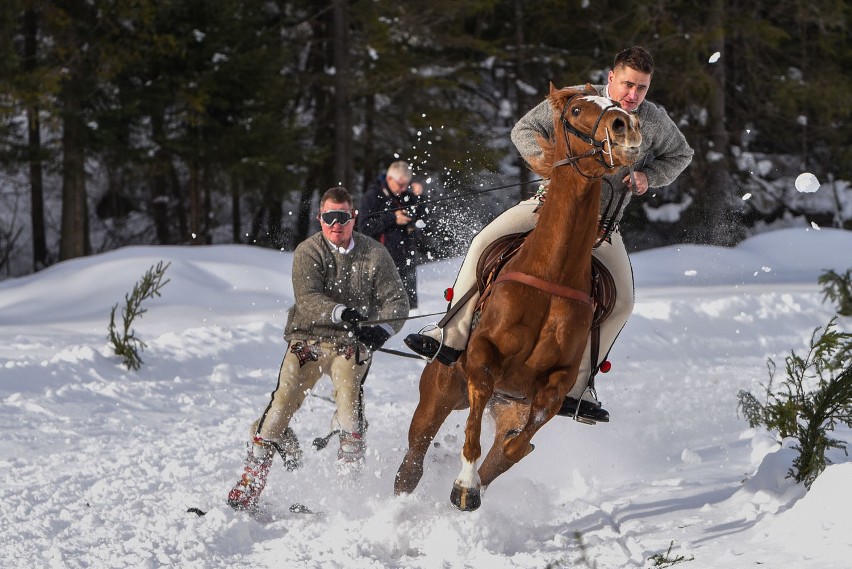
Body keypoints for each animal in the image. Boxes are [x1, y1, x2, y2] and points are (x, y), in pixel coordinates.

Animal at [392, 83, 640, 510]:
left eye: (620, 106)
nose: (623, 126)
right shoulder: (481, 357)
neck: (551, 272)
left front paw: (469, 486)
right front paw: (465, 481)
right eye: (576, 110)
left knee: (506, 447)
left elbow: (512, 448)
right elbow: (474, 427)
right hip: (439, 391)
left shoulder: (554, 384)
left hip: (507, 404)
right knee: (411, 463)